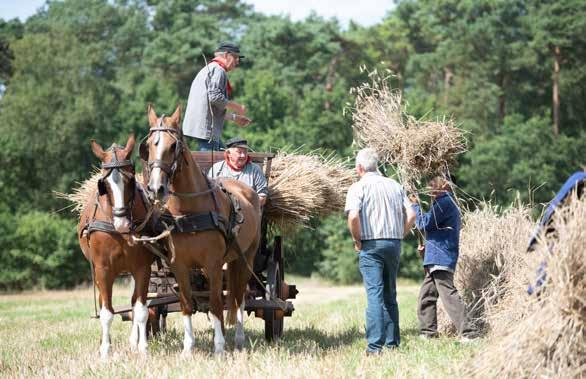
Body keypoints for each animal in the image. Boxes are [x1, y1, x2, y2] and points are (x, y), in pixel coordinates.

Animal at [76, 137, 154, 360]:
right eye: (104, 185)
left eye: (131, 180)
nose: (122, 223)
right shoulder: (103, 270)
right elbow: (107, 312)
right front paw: (105, 351)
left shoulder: (142, 269)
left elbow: (141, 309)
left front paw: (143, 348)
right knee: (105, 303)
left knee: (134, 304)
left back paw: (134, 342)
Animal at [139, 105, 260, 354]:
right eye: (149, 146)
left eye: (173, 146)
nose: (156, 188)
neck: (190, 212)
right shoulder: (179, 266)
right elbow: (187, 304)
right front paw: (188, 348)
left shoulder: (212, 264)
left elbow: (215, 304)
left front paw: (219, 347)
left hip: (247, 259)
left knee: (239, 297)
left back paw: (239, 339)